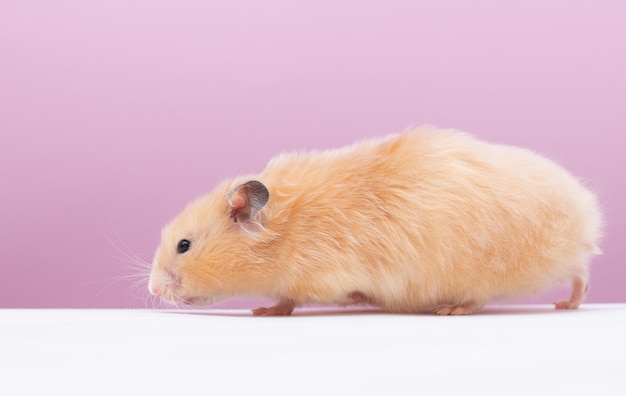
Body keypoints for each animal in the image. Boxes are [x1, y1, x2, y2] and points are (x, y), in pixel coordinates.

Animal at [146, 127, 600, 316]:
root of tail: (584, 213)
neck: (284, 230)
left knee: (487, 297)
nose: (151, 289)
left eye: (184, 246)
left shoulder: (317, 276)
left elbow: (289, 301)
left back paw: (451, 310)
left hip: (487, 269)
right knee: (580, 273)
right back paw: (567, 304)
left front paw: (263, 311)